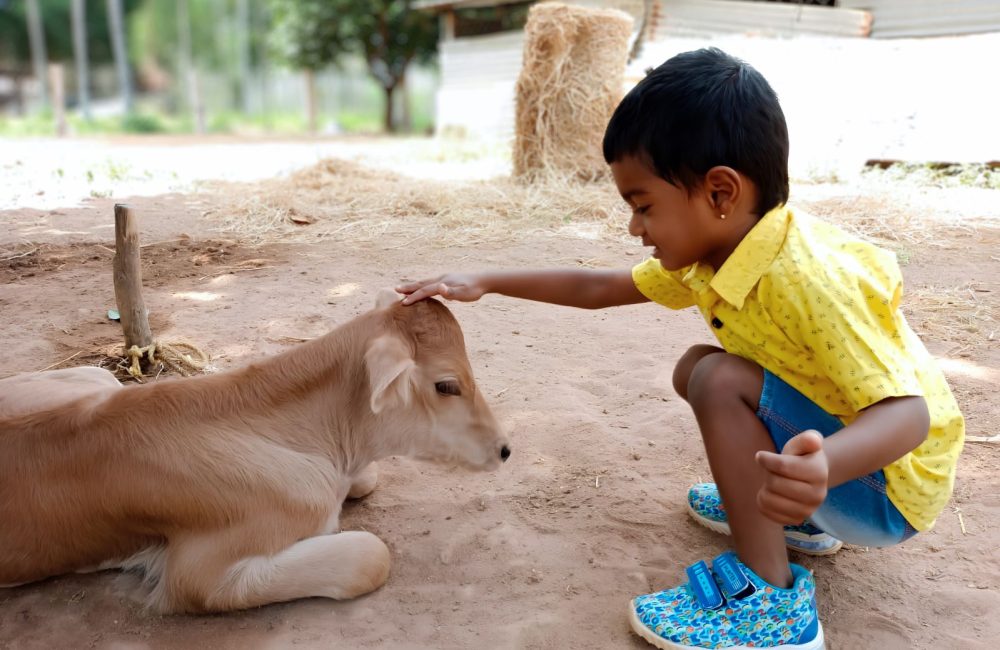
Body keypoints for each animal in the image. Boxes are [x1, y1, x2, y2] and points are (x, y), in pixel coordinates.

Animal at [0, 291, 509, 613]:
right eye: (446, 385)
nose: (505, 449)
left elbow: (367, 479)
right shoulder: (199, 574)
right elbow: (371, 555)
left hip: (95, 377)